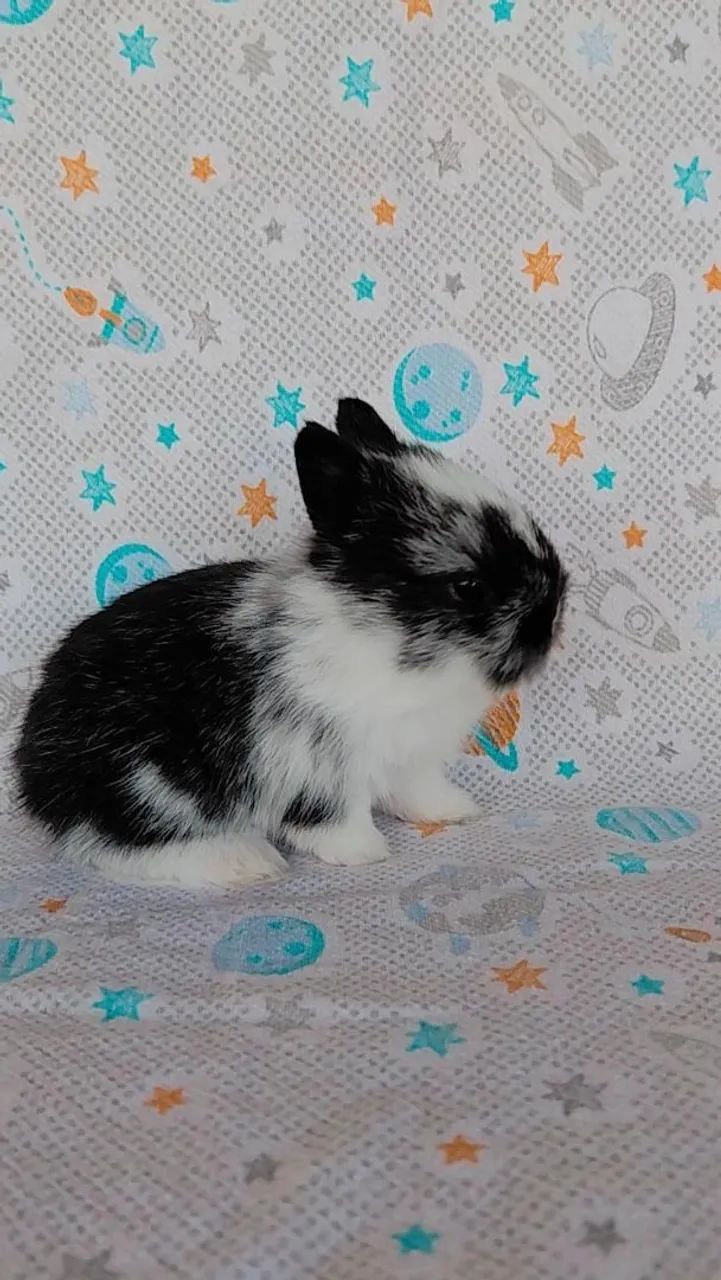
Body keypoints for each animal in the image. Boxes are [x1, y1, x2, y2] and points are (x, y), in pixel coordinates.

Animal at [14, 398, 568, 889]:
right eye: (468, 586)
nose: (550, 624)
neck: (386, 640)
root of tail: (32, 767)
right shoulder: (319, 761)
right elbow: (333, 817)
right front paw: (363, 852)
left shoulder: (411, 755)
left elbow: (417, 789)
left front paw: (454, 811)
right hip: (147, 783)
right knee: (115, 844)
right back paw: (244, 861)